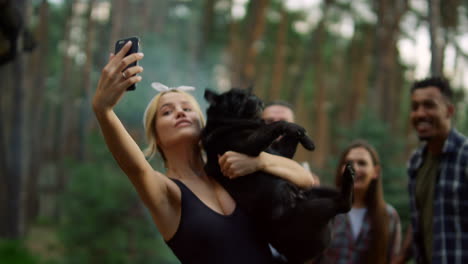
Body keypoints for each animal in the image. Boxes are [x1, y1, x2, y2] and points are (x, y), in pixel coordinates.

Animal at [202, 88, 354, 262]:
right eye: (238, 98)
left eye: (250, 93)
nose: (257, 99)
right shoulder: (248, 143)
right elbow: (278, 124)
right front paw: (292, 127)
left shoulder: (280, 152)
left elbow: (290, 134)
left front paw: (307, 139)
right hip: (309, 212)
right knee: (343, 205)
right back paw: (348, 178)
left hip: (321, 190)